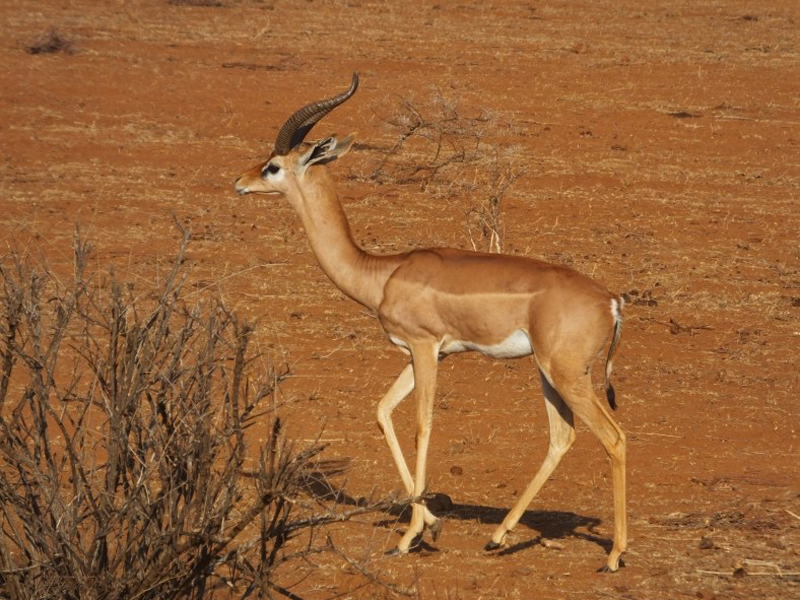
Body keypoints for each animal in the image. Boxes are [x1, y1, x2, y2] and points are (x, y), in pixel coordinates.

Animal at [234, 73, 627, 572]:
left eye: (272, 167)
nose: (239, 182)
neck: (383, 273)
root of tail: (611, 301)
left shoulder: (426, 348)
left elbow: (422, 425)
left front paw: (410, 537)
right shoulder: (417, 353)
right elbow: (382, 412)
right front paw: (427, 525)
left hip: (568, 374)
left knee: (614, 438)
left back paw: (614, 555)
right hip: (548, 373)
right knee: (562, 436)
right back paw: (497, 537)